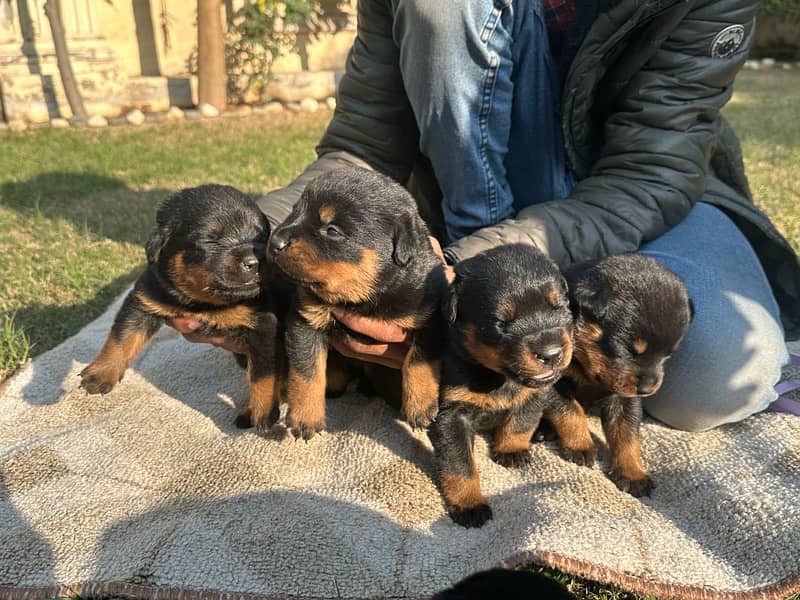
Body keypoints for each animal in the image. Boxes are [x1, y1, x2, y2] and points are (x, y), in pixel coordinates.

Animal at [76, 183, 282, 432]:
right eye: (211, 241)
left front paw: (262, 413)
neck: (204, 302)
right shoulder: (145, 298)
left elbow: (262, 375)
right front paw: (101, 373)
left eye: (262, 236)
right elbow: (122, 337)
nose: (256, 261)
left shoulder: (263, 325)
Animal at [266, 166, 446, 438]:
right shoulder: (305, 319)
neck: (361, 297)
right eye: (295, 212)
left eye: (332, 230)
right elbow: (306, 371)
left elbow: (420, 359)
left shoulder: (430, 314)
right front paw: (304, 416)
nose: (274, 241)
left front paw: (421, 405)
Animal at [432, 243, 576, 524]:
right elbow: (459, 463)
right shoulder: (451, 414)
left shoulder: (533, 395)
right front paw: (470, 504)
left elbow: (521, 422)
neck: (500, 379)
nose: (551, 353)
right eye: (500, 324)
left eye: (559, 306)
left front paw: (511, 450)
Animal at [552, 253, 692, 496]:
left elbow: (626, 433)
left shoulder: (625, 396)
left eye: (668, 355)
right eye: (628, 350)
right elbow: (570, 410)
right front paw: (580, 445)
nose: (648, 388)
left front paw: (632, 472)